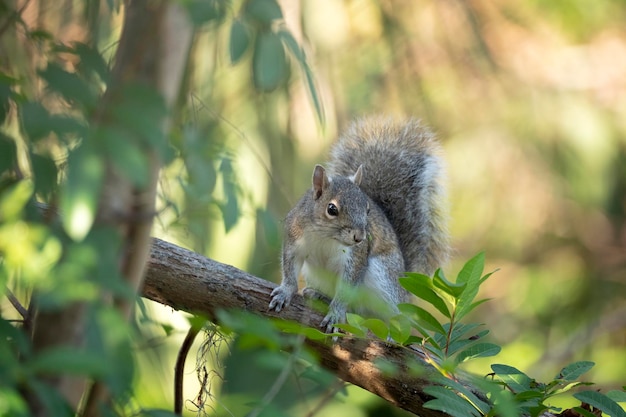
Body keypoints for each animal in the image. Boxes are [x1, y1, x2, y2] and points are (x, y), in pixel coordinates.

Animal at [266, 116, 446, 332]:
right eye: (331, 209)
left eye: (367, 209)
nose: (360, 237)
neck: (325, 237)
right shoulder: (295, 238)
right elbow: (290, 269)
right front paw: (285, 292)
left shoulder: (356, 257)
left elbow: (347, 288)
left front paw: (335, 314)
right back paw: (319, 295)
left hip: (383, 278)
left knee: (389, 314)